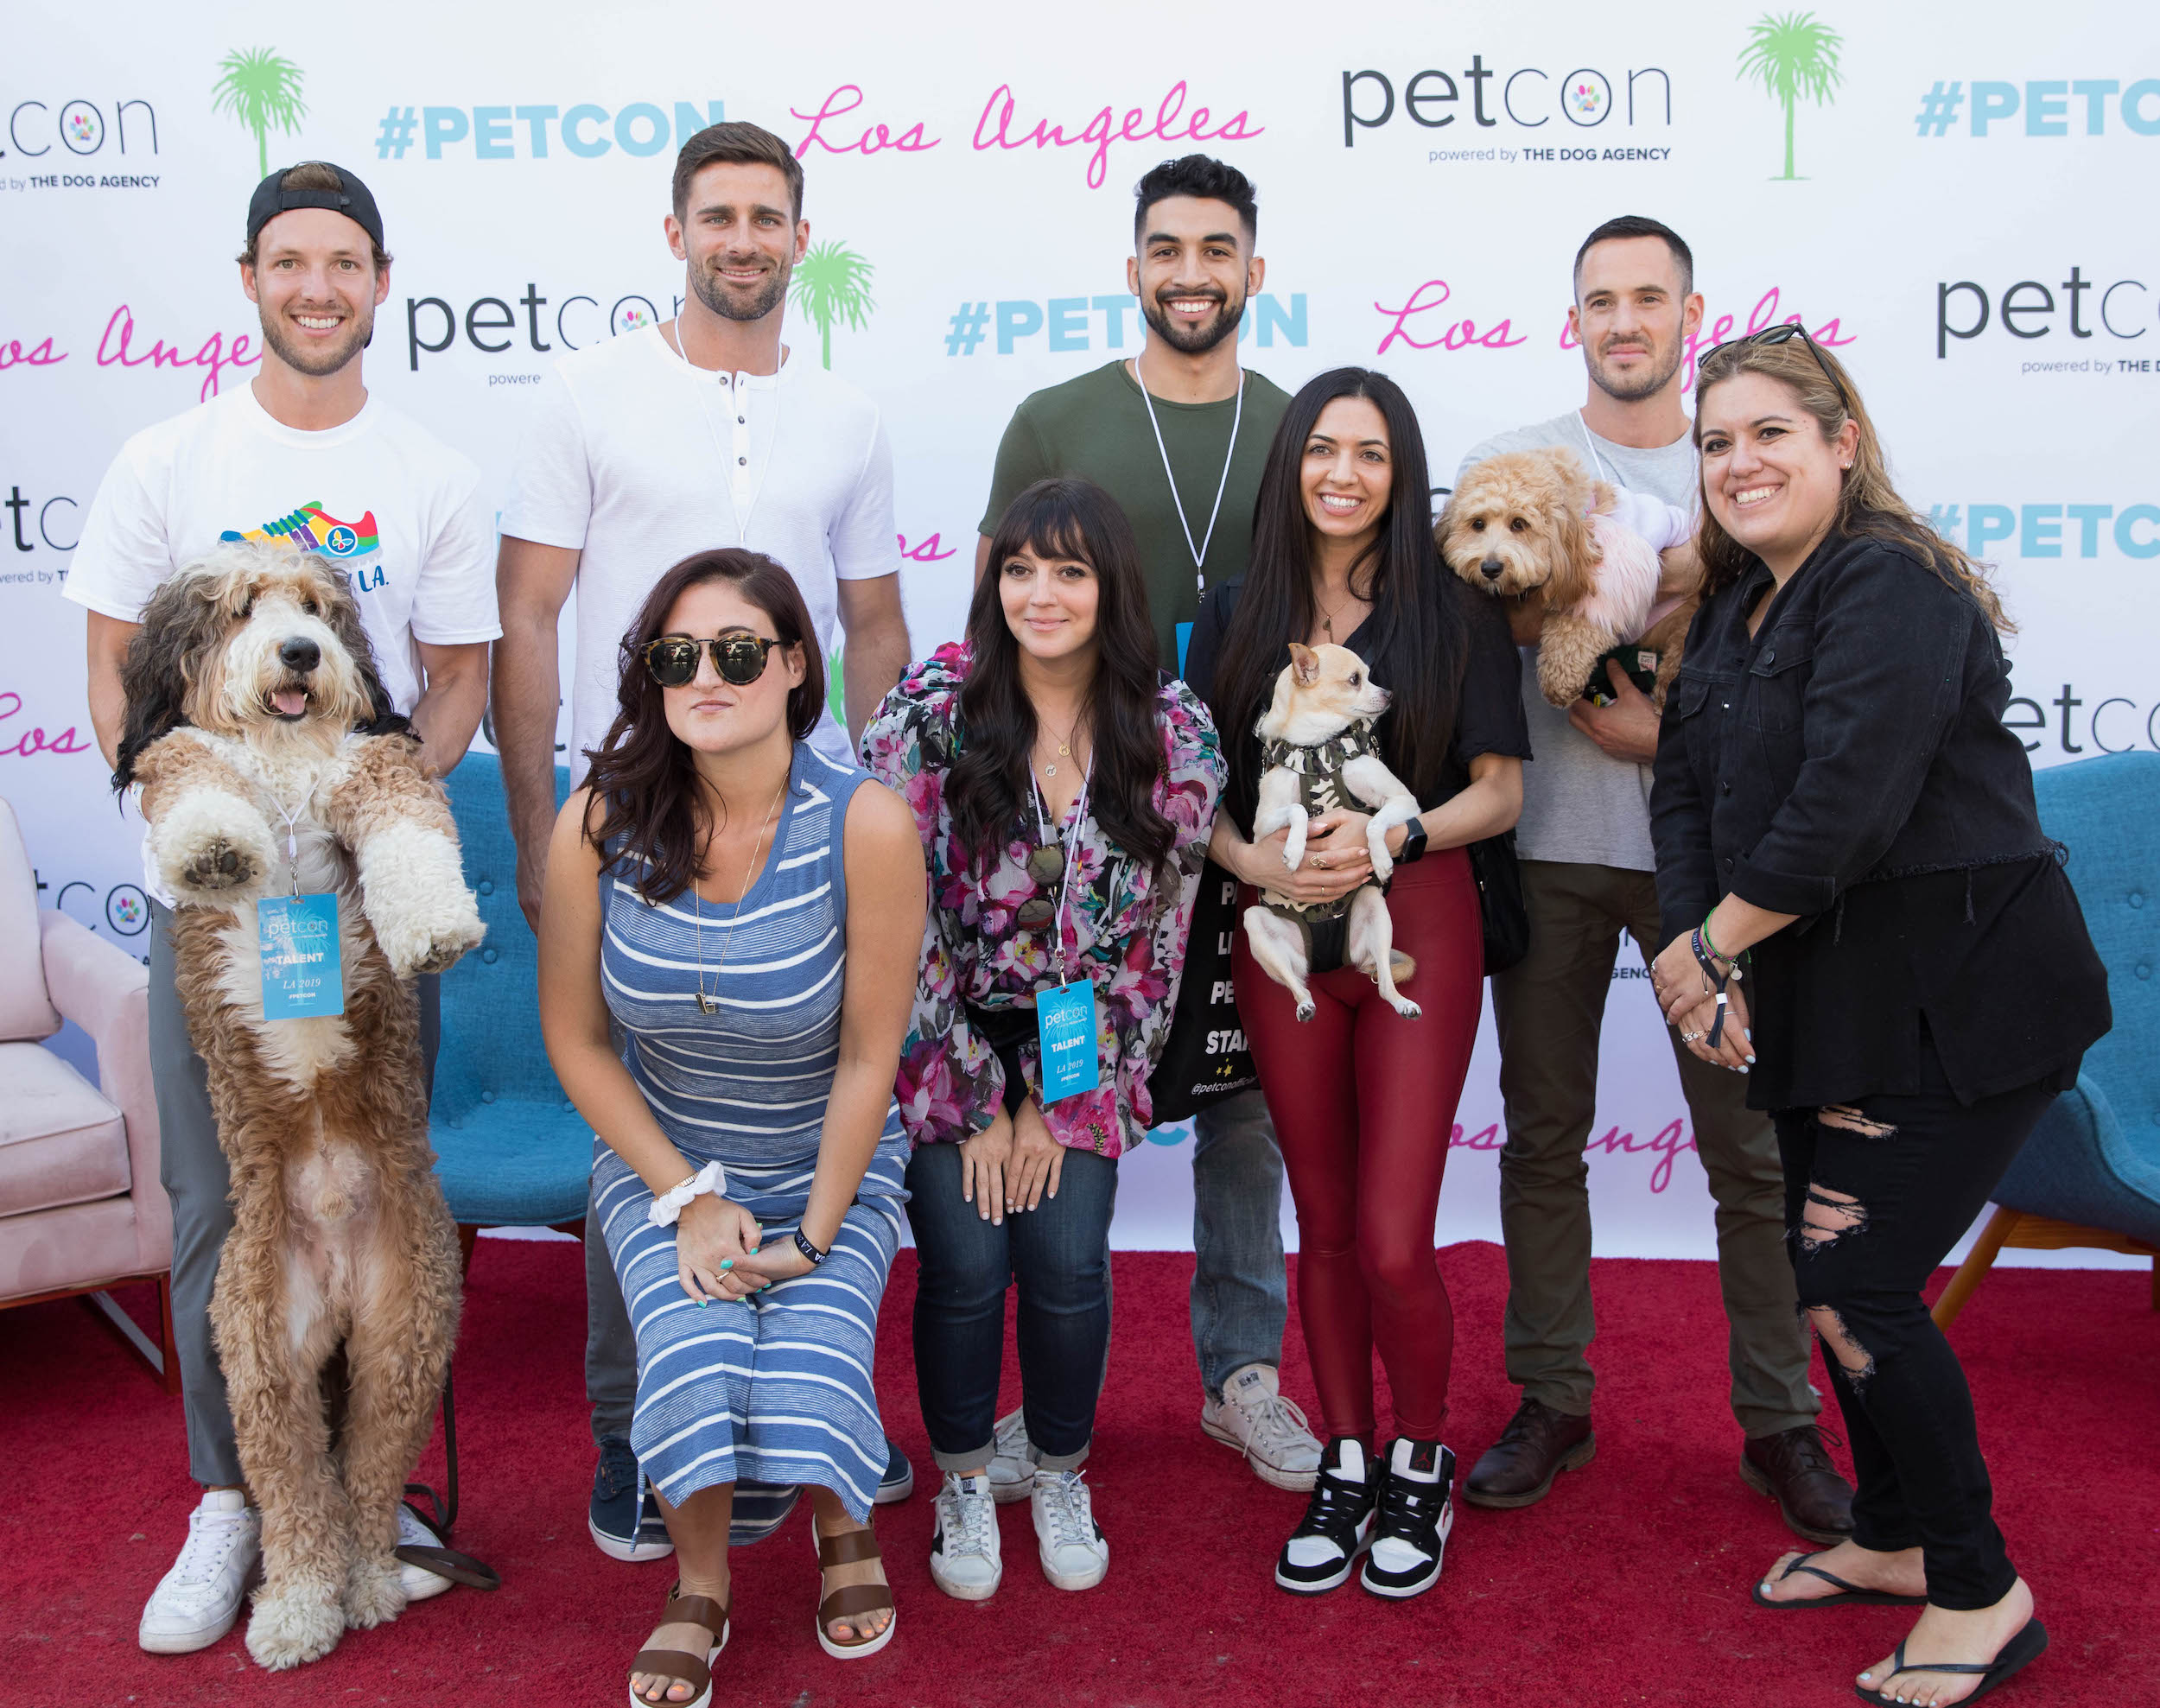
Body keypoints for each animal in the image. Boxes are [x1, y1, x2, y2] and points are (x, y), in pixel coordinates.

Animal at [115, 543, 486, 1667]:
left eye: (320, 607)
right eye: (241, 609)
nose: (299, 653)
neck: (283, 769)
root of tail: (333, 1256)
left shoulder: (376, 769)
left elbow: (406, 829)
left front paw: (435, 925)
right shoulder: (179, 758)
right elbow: (194, 777)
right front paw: (215, 854)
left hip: (405, 1343)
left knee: (361, 1486)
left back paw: (369, 1581)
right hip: (259, 1355)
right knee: (294, 1497)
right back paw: (294, 1609)